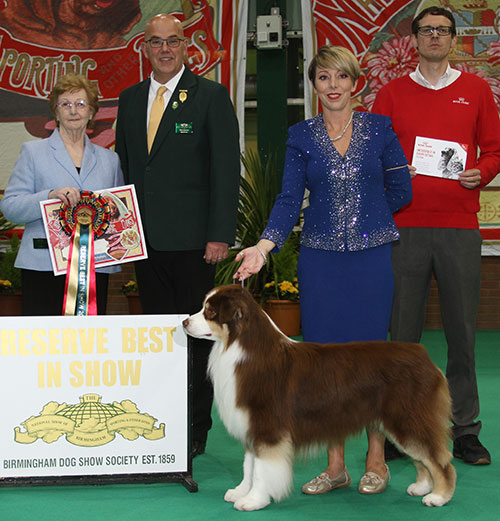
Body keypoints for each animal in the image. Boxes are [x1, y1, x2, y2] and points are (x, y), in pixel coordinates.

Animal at [183, 282, 458, 510]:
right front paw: (240, 492)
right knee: (422, 458)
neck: (238, 347)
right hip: (401, 422)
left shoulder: (267, 428)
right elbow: (248, 465)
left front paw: (253, 501)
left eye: (210, 312)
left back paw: (438, 496)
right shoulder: (250, 425)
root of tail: (424, 356)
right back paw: (421, 486)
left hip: (407, 419)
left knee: (440, 461)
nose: (184, 322)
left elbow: (261, 469)